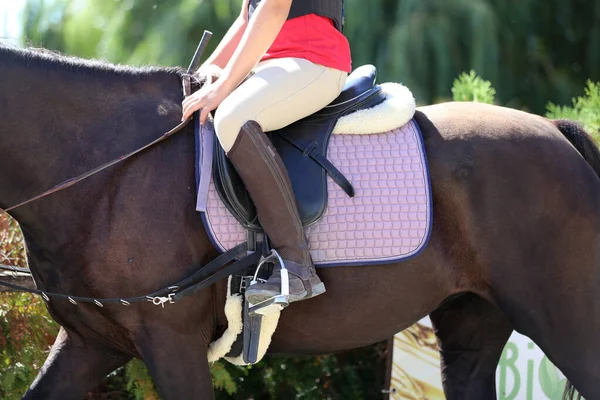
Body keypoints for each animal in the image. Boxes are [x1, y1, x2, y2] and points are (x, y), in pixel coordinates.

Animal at [0, 43, 596, 400]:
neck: (108, 170)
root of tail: (556, 130)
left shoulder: (171, 340)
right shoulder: (90, 341)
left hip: (564, 321)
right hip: (472, 323)